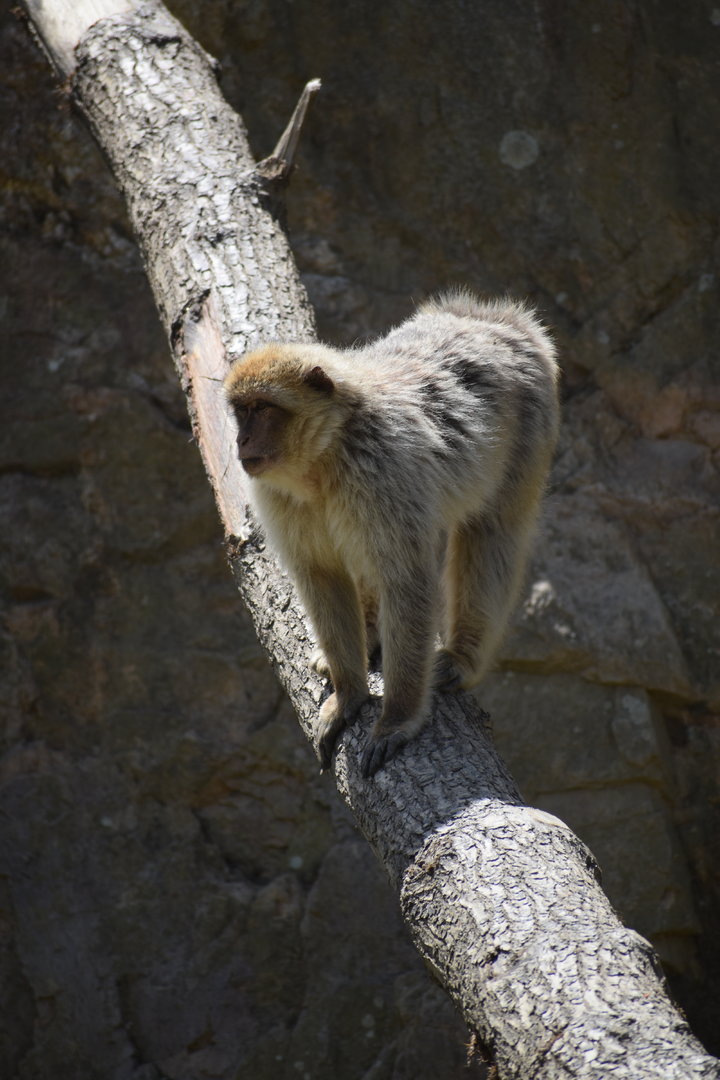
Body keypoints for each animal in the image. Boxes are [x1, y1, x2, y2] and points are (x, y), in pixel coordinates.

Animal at [224, 291, 560, 778]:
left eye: (263, 409)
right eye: (240, 411)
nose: (241, 442)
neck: (324, 460)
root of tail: (489, 317)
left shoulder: (383, 469)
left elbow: (407, 581)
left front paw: (398, 718)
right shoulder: (281, 495)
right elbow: (321, 575)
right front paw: (348, 693)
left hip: (531, 423)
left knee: (493, 531)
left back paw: (463, 656)